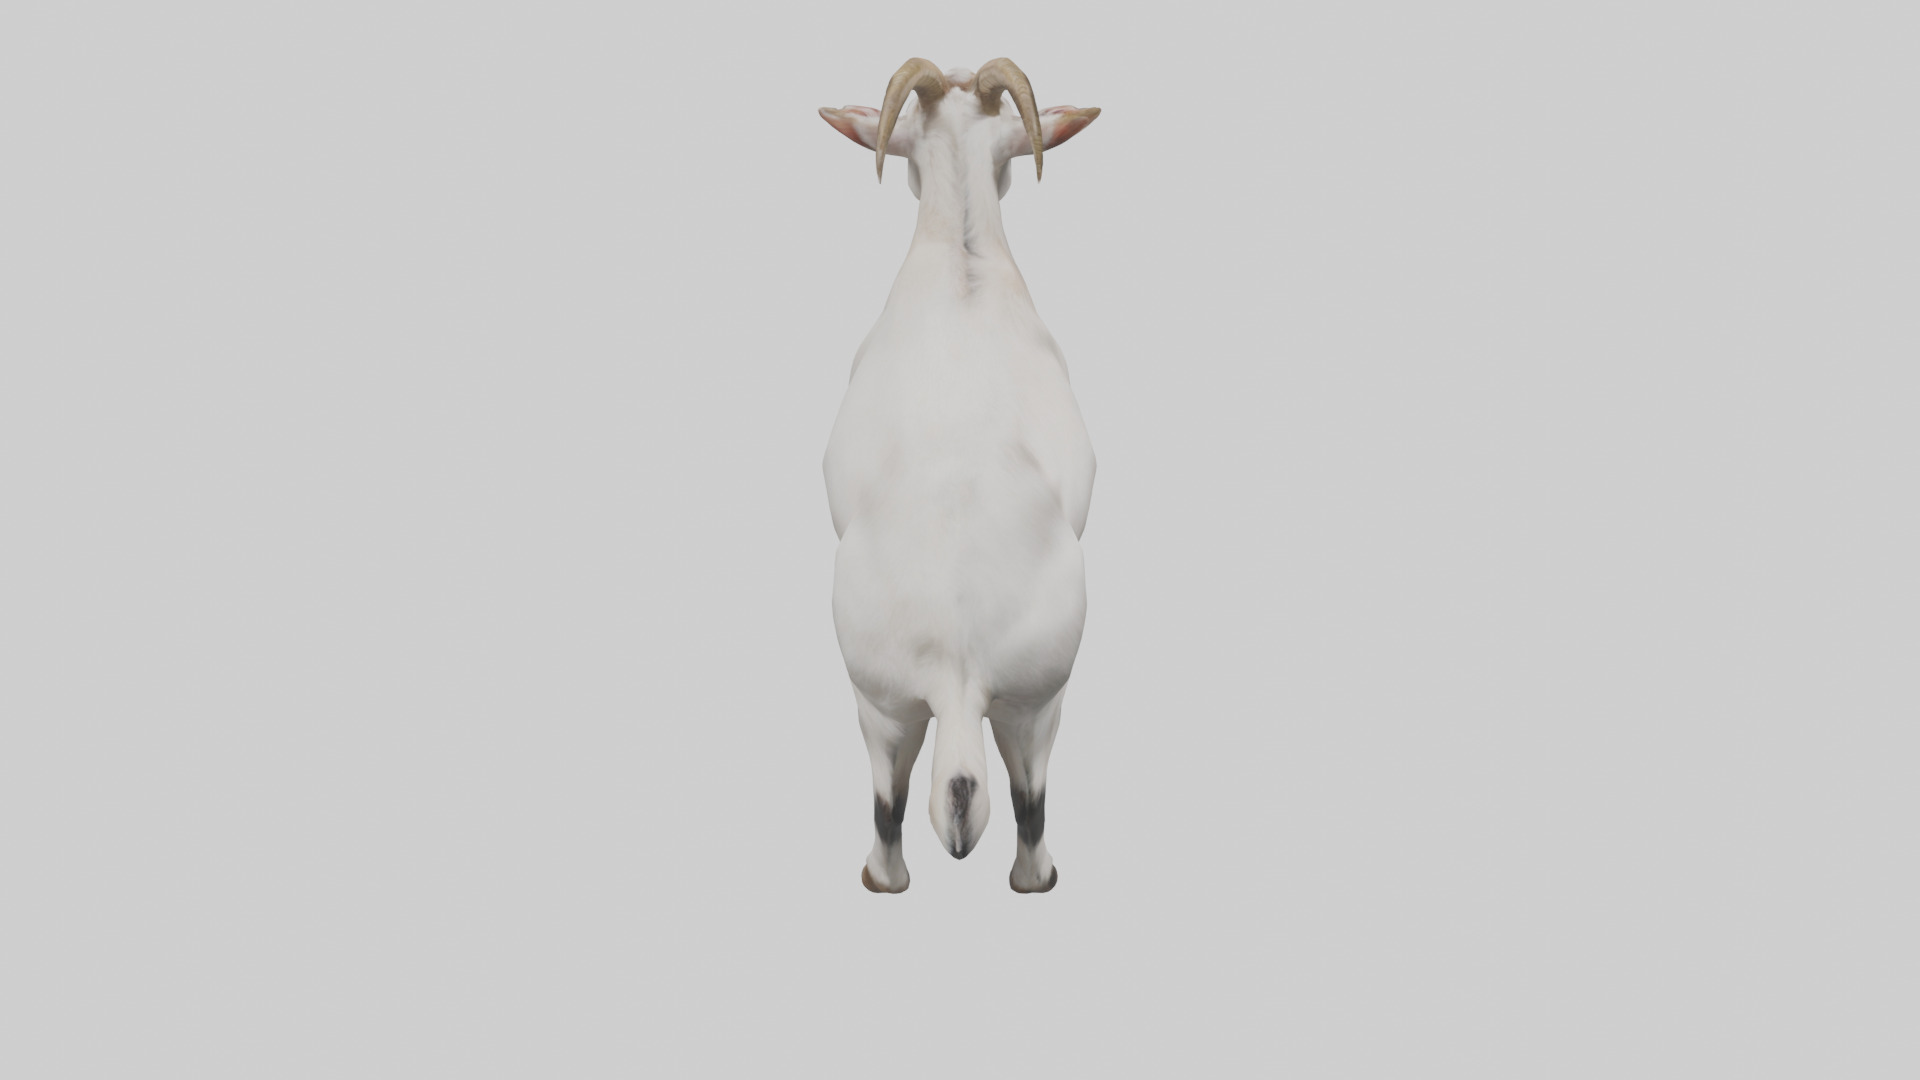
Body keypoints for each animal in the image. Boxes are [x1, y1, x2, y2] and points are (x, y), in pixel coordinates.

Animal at [820, 59, 1101, 893]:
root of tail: (956, 662)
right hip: (1030, 699)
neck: (963, 267)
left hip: (894, 700)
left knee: (901, 798)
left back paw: (889, 880)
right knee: (1020, 796)